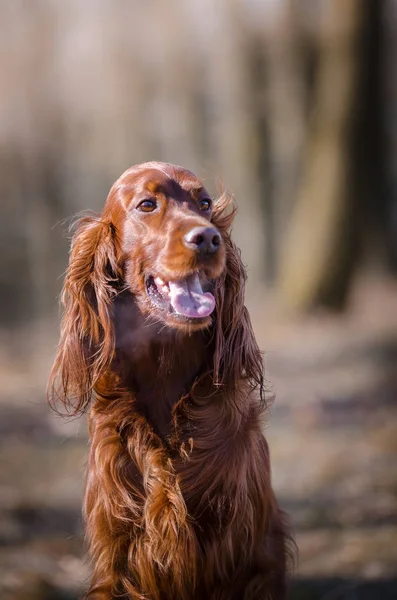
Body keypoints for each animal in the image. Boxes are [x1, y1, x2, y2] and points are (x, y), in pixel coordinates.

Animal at [48, 162, 288, 596]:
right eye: (147, 204)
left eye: (205, 203)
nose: (208, 238)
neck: (165, 373)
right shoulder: (118, 554)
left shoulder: (244, 553)